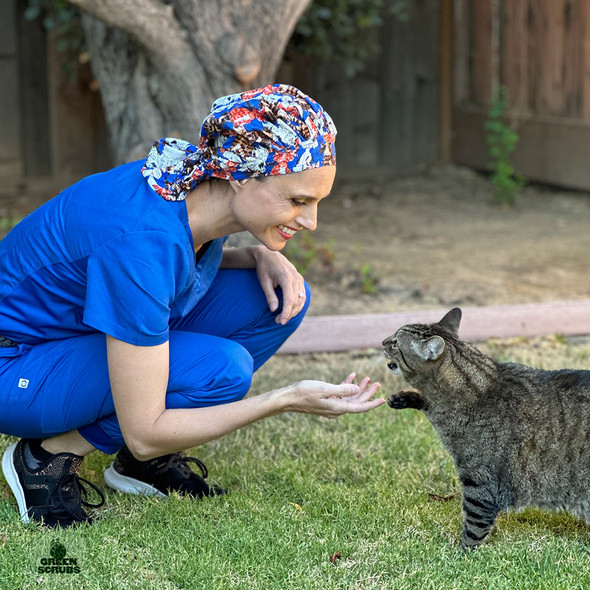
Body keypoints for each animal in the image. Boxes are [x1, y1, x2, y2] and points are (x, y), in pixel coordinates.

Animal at [384, 310, 590, 552]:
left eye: (396, 342)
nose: (382, 342)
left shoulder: (479, 481)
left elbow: (474, 525)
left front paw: (461, 554)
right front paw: (405, 398)